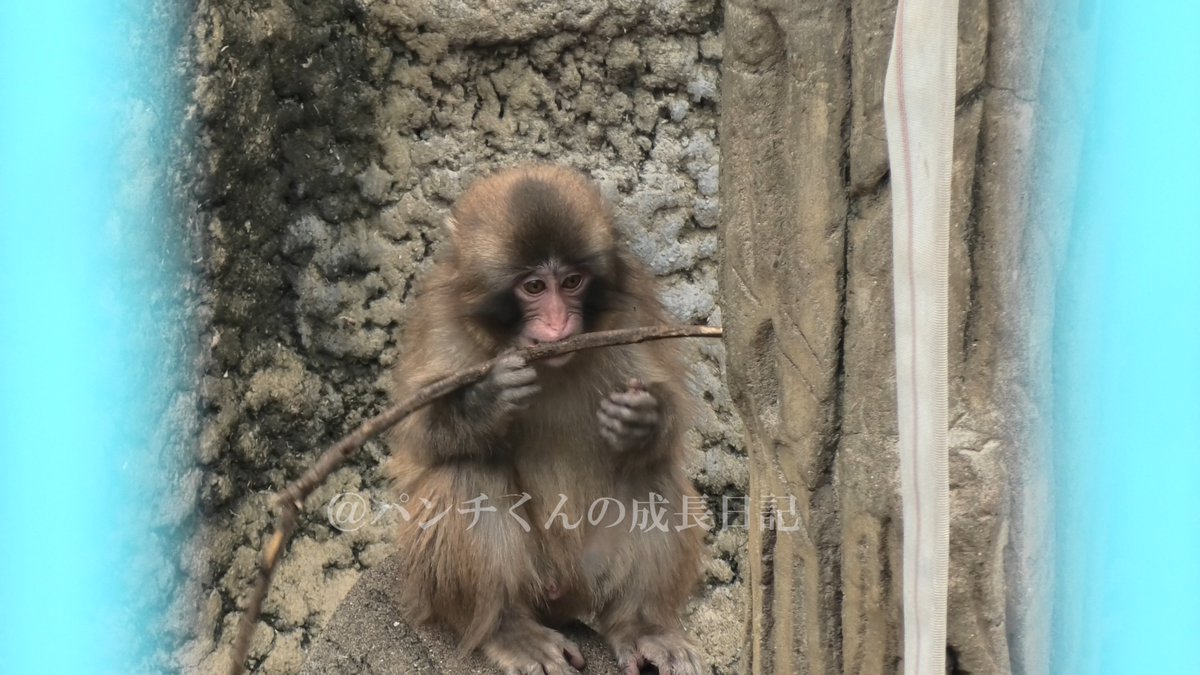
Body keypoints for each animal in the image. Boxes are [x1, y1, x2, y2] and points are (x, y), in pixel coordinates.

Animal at [384, 164, 707, 675]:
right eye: (533, 287)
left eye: (572, 282)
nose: (557, 325)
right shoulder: (442, 323)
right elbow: (418, 437)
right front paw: (485, 404)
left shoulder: (630, 311)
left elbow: (669, 416)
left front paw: (642, 420)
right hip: (527, 583)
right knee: (467, 470)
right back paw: (506, 628)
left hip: (587, 573)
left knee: (650, 475)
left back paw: (641, 625)